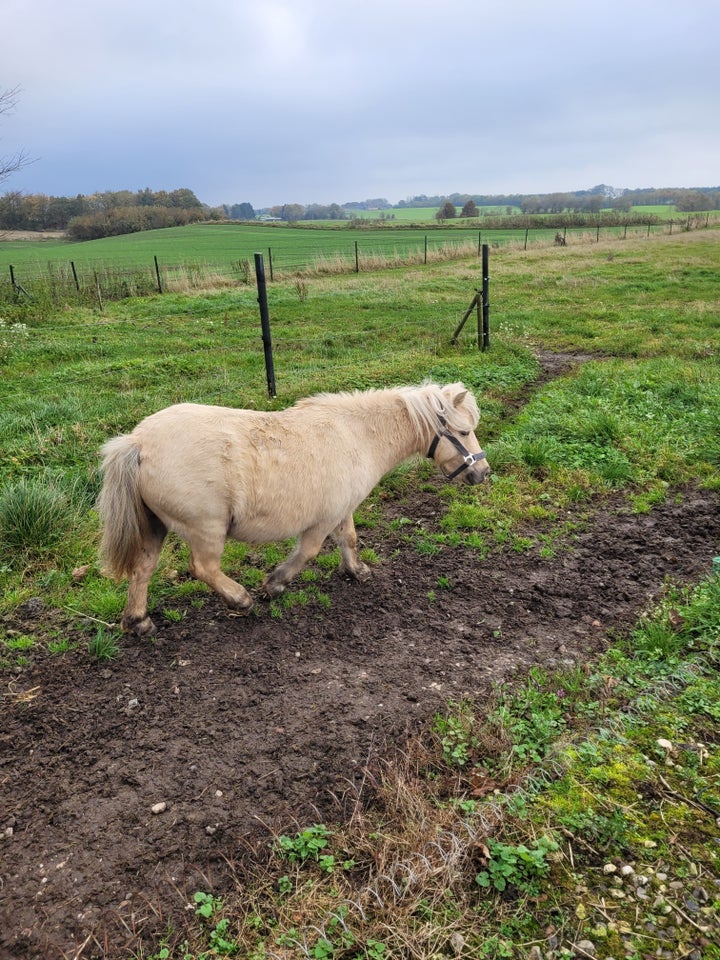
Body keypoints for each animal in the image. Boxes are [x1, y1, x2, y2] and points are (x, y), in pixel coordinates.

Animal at [98, 382, 490, 636]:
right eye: (464, 431)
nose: (483, 472)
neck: (358, 435)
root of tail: (138, 442)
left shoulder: (342, 510)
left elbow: (349, 540)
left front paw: (357, 571)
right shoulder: (322, 520)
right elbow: (308, 552)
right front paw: (274, 584)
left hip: (155, 527)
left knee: (143, 569)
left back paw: (138, 621)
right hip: (206, 528)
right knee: (203, 568)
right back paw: (240, 599)